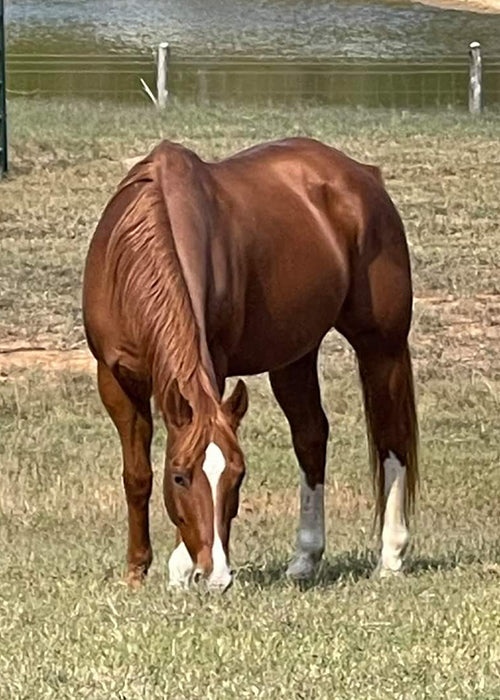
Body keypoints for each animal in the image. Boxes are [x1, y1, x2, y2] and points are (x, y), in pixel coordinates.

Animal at [82, 135, 418, 592]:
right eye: (179, 476)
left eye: (238, 475)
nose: (218, 575)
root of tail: (363, 178)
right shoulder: (115, 379)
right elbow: (137, 475)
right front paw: (136, 569)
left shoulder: (215, 364)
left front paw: (179, 567)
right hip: (295, 355)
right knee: (311, 436)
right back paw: (305, 558)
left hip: (382, 346)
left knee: (391, 439)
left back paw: (391, 556)